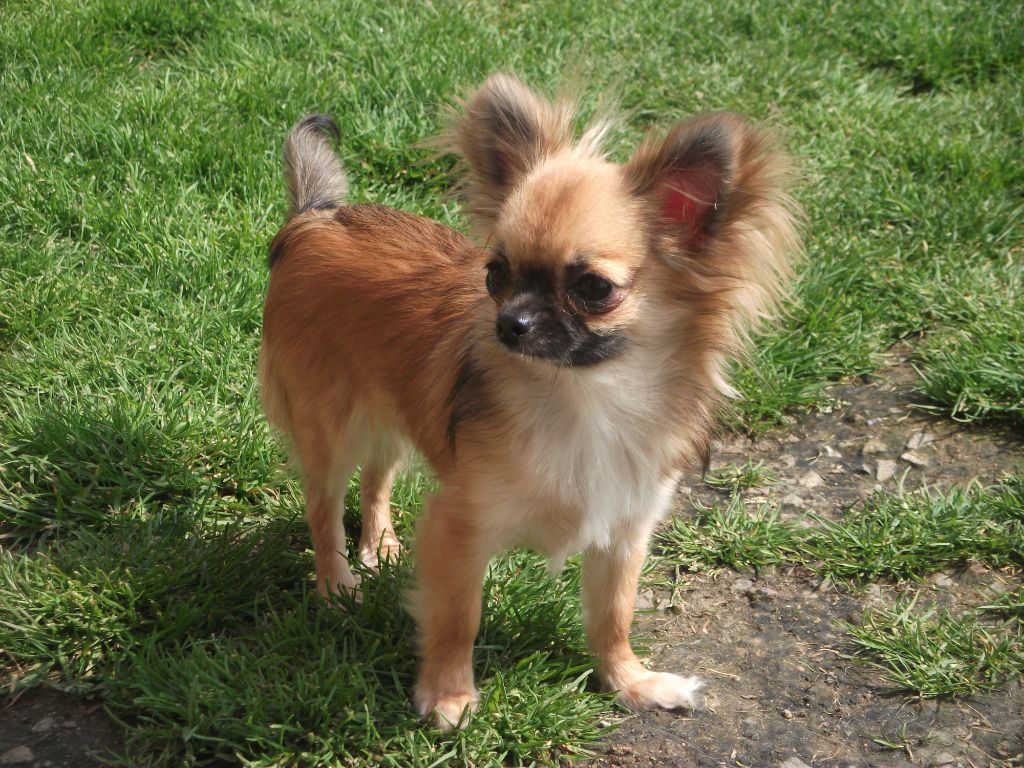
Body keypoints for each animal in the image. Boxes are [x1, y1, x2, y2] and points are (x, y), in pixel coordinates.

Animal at [259, 73, 800, 730]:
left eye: (594, 288)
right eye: (495, 273)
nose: (509, 323)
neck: (583, 398)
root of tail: (319, 218)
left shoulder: (625, 531)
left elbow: (613, 615)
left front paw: (630, 681)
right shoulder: (459, 526)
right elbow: (457, 617)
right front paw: (448, 695)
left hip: (390, 407)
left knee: (378, 473)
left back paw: (379, 544)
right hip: (330, 426)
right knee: (324, 507)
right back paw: (336, 584)